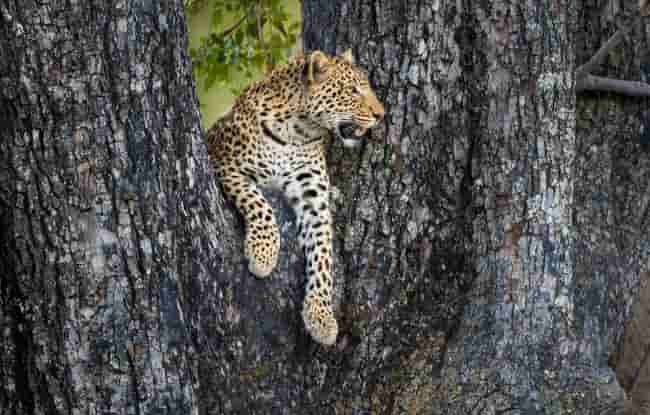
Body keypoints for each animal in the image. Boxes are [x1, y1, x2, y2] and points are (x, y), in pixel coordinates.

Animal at [205, 48, 382, 348]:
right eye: (353, 90)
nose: (381, 115)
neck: (298, 131)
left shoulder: (314, 200)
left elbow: (323, 256)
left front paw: (321, 317)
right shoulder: (226, 166)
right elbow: (259, 204)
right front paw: (263, 254)